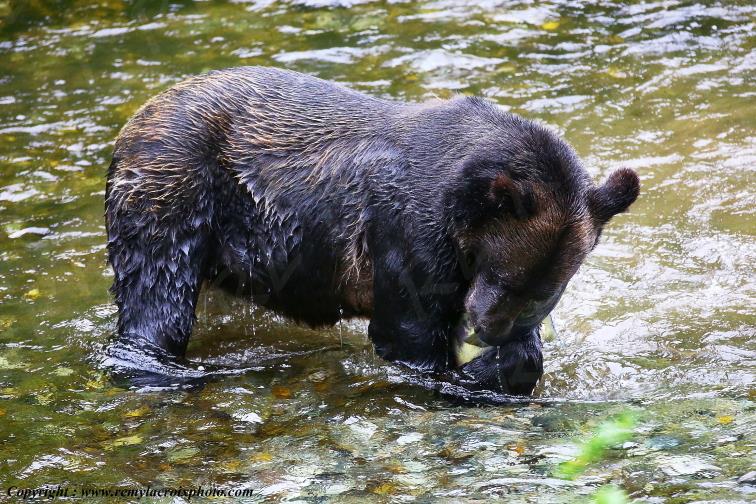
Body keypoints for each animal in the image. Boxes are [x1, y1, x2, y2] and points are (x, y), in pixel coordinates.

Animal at [105, 66, 639, 395]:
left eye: (543, 293)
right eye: (504, 276)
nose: (486, 329)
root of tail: (139, 114)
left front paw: (502, 362)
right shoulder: (407, 232)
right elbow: (409, 333)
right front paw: (466, 374)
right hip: (173, 192)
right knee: (158, 296)